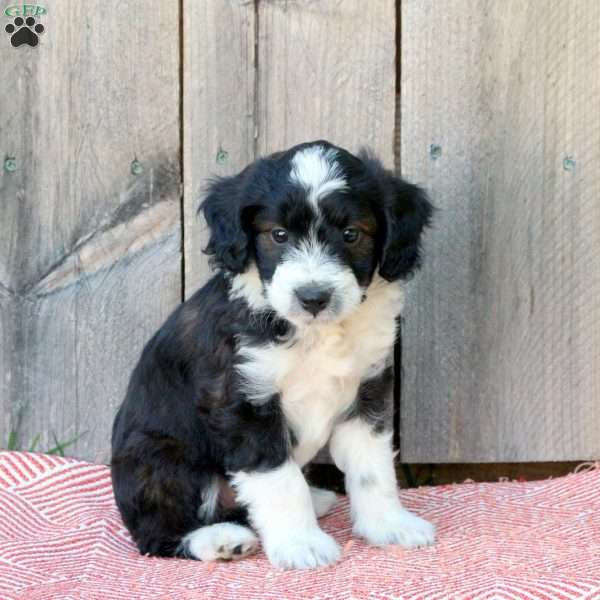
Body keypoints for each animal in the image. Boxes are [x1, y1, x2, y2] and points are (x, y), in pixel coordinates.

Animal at [110, 138, 434, 568]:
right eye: (278, 235)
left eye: (351, 234)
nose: (313, 297)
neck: (316, 332)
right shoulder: (244, 402)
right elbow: (279, 480)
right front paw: (301, 545)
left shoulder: (368, 392)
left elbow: (372, 467)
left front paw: (389, 525)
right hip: (160, 456)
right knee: (155, 533)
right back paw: (219, 540)